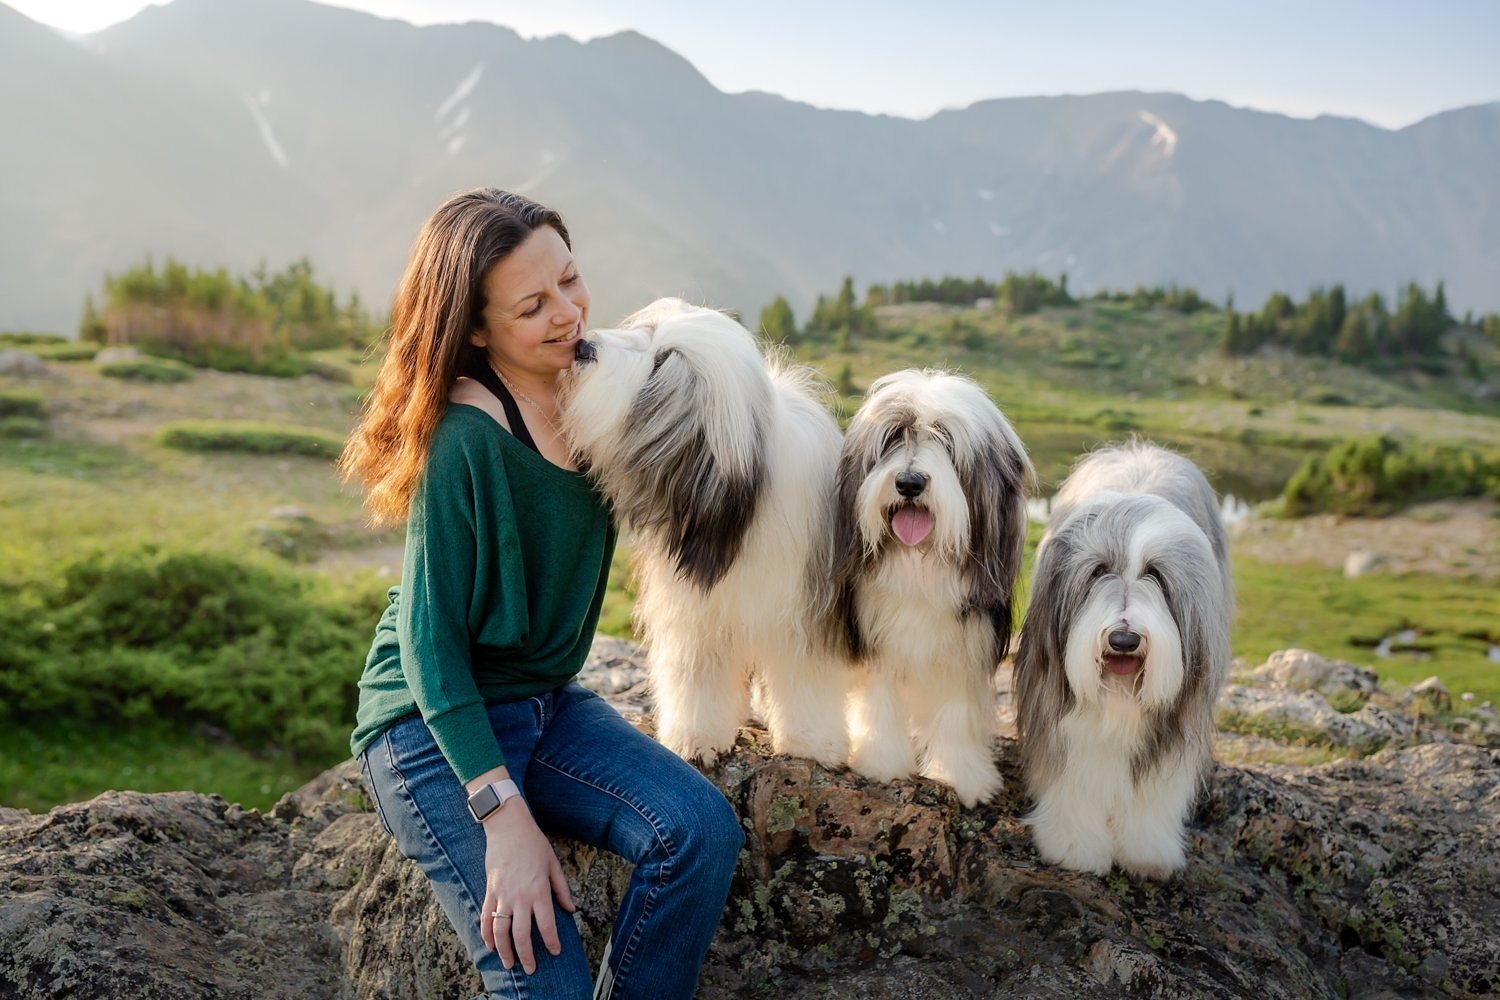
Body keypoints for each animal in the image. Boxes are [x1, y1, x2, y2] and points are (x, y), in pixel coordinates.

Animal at [561, 295, 852, 767]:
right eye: (646, 331)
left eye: (662, 362)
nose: (585, 346)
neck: (744, 506)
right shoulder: (696, 613)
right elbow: (698, 676)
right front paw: (696, 739)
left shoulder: (804, 609)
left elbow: (805, 677)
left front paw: (812, 743)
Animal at [834, 371, 1032, 809]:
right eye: (894, 437)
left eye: (947, 441)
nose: (909, 482)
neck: (921, 565)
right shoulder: (876, 633)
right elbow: (880, 698)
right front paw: (881, 763)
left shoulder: (967, 646)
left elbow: (956, 712)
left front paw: (961, 777)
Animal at [1008, 440, 1230, 881]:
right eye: (1098, 571)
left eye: (1156, 574)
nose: (1124, 640)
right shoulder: (1059, 705)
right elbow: (1077, 773)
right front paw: (1074, 846)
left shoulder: (1181, 716)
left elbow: (1155, 788)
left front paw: (1146, 852)